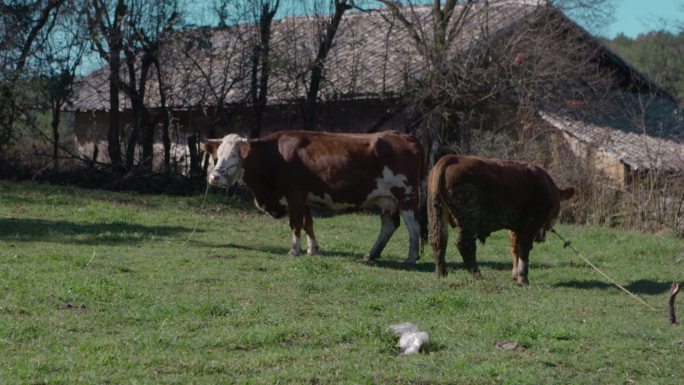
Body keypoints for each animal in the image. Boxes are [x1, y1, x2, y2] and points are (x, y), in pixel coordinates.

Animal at [203, 131, 424, 260]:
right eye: (218, 155)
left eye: (235, 154)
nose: (214, 177)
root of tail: (407, 136)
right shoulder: (304, 198)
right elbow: (307, 223)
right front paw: (313, 249)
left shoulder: (295, 194)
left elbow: (295, 223)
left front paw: (294, 251)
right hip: (387, 200)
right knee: (389, 225)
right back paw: (372, 254)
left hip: (406, 196)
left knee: (414, 227)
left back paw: (411, 258)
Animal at [430, 154, 576, 284]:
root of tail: (452, 158)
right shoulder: (529, 224)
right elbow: (524, 250)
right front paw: (523, 277)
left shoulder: (515, 229)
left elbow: (516, 249)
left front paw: (516, 275)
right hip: (468, 218)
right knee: (465, 245)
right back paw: (477, 275)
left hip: (437, 214)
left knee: (438, 241)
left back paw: (441, 273)